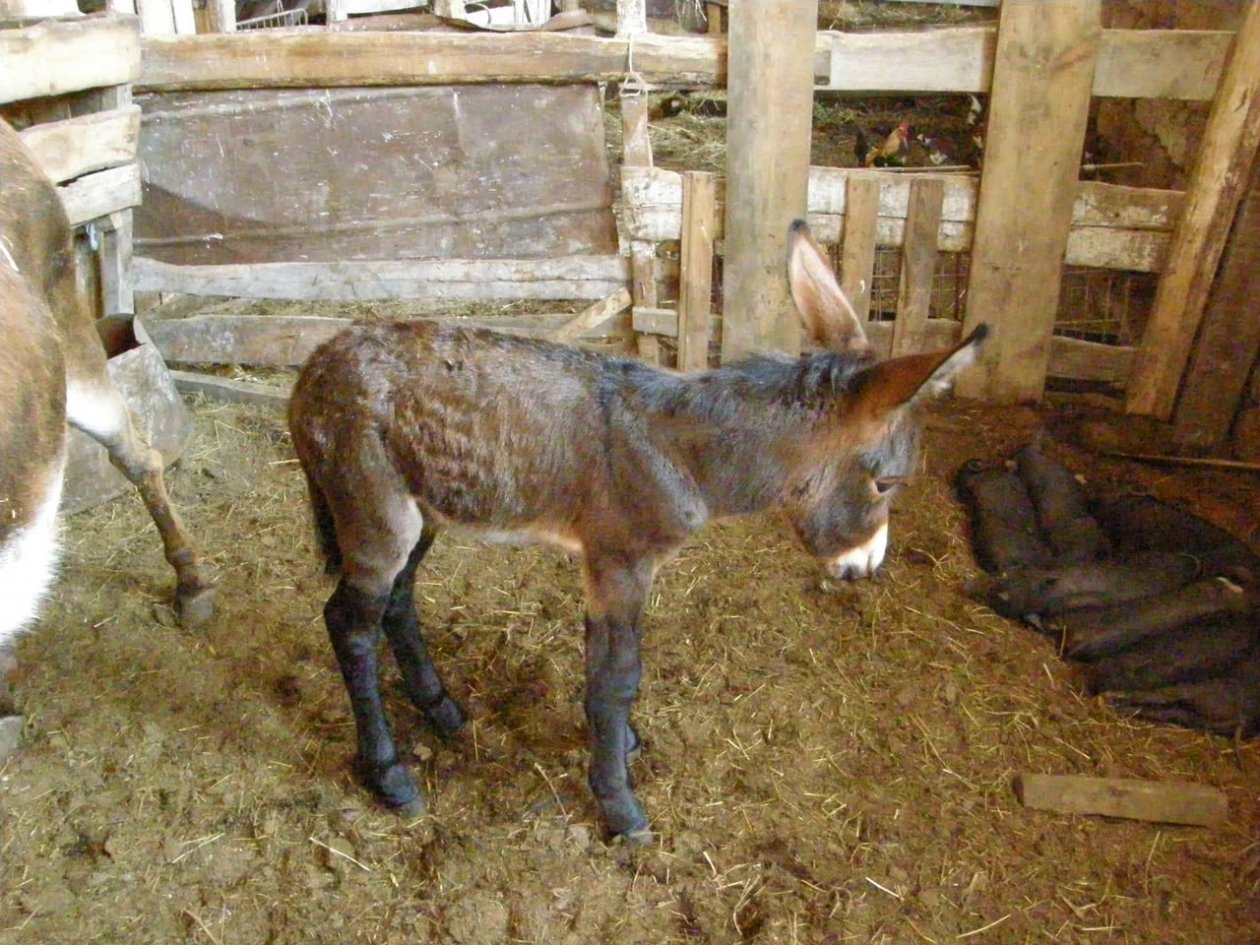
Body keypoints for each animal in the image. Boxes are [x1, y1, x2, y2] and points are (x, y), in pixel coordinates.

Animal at [289, 221, 987, 841]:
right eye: (887, 482)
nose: (864, 569)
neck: (683, 453)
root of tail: (316, 365)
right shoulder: (620, 562)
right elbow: (616, 678)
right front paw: (620, 806)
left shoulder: (606, 568)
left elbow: (605, 666)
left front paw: (618, 747)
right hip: (373, 507)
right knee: (349, 623)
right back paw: (389, 775)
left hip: (423, 511)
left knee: (398, 602)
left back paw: (442, 710)